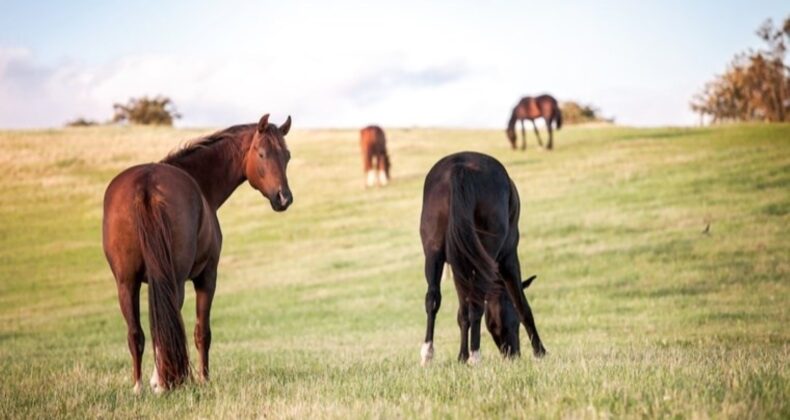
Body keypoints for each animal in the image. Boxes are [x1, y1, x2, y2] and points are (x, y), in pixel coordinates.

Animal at [102, 113, 294, 392]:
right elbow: (202, 332)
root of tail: (145, 185)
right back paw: (164, 382)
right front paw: (203, 378)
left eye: (287, 155)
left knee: (136, 333)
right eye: (261, 153)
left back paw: (139, 386)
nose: (284, 198)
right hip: (175, 279)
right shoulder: (207, 276)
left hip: (126, 283)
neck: (201, 184)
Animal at [420, 151, 544, 364]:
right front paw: (540, 352)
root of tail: (460, 168)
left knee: (433, 298)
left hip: (434, 253)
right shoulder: (508, 259)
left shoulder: (458, 266)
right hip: (490, 253)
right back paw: (475, 355)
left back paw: (428, 354)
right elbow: (522, 304)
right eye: (514, 322)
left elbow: (462, 312)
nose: (514, 354)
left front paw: (461, 356)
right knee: (477, 303)